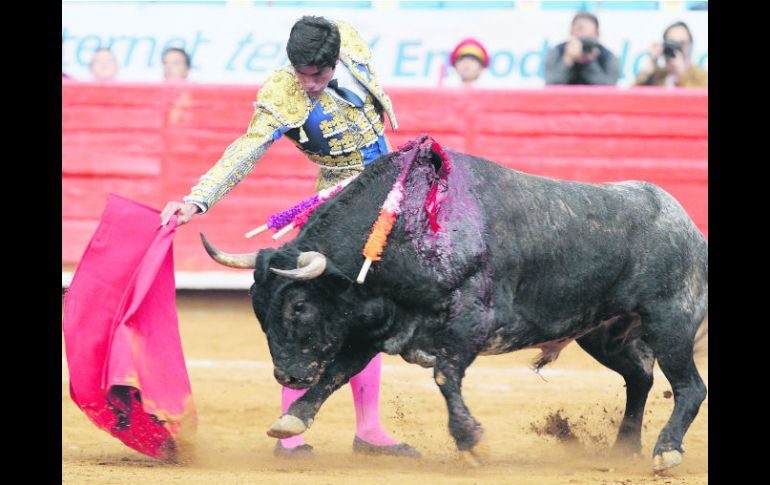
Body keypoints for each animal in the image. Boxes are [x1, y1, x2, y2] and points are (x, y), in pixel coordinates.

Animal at [201, 135, 704, 468]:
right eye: (258, 309)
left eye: (299, 306)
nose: (286, 375)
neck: (405, 230)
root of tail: (688, 227)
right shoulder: (375, 326)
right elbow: (338, 374)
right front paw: (292, 421)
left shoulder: (471, 320)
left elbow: (444, 374)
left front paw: (472, 441)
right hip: (604, 333)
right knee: (640, 377)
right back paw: (626, 449)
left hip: (671, 323)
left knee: (688, 386)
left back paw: (666, 452)